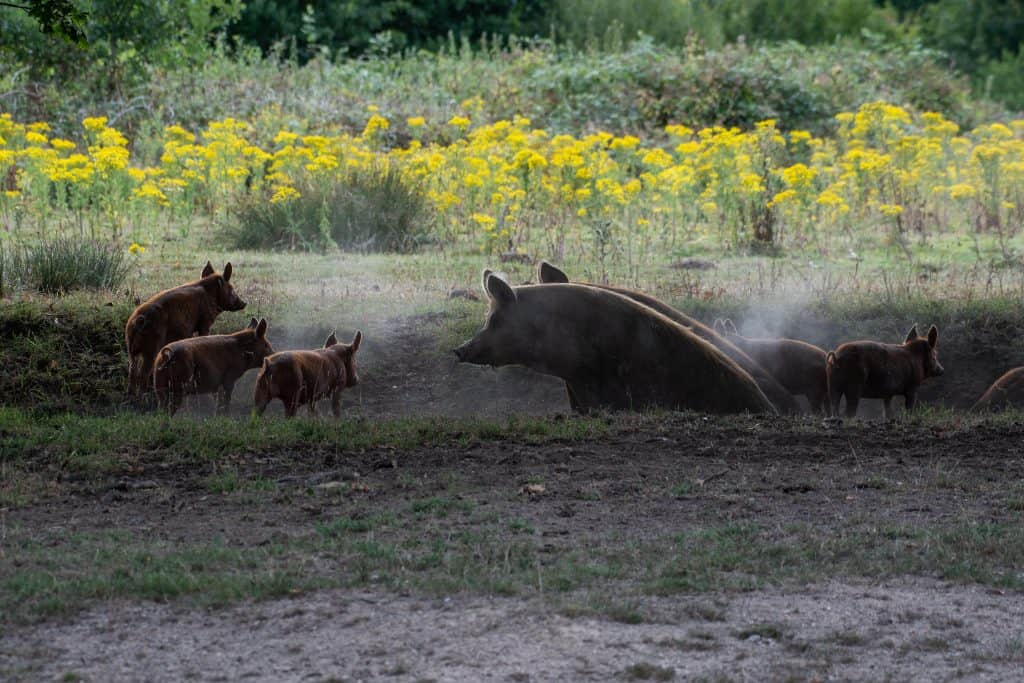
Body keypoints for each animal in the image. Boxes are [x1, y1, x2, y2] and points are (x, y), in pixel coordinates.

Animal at [124, 264, 246, 401]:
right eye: (231, 289)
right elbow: (204, 335)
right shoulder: (205, 322)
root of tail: (138, 320)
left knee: (132, 370)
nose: (244, 303)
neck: (210, 295)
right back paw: (143, 398)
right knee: (143, 373)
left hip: (130, 346)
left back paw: (130, 396)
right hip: (152, 347)